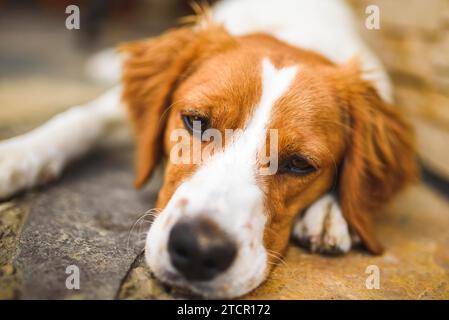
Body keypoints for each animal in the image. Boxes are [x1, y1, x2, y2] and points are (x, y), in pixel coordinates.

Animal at [0, 0, 416, 298]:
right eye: (196, 121)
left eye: (300, 164)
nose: (199, 251)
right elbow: (78, 119)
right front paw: (16, 156)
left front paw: (330, 212)